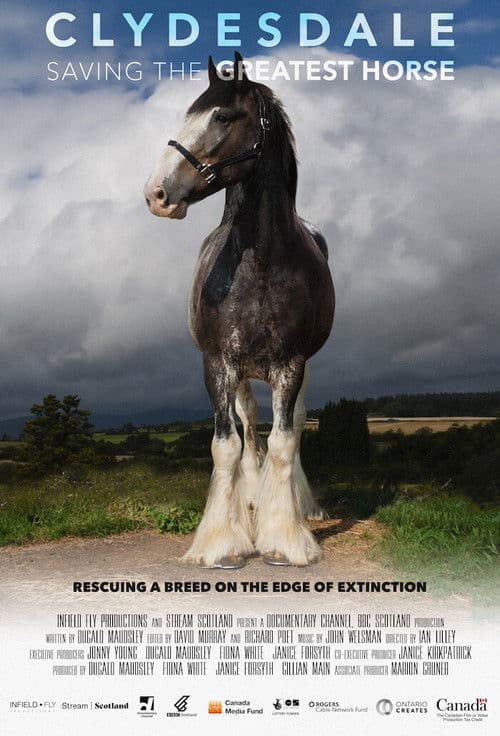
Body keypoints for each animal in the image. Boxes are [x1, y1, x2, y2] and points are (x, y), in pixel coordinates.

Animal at [144, 53, 334, 568]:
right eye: (190, 114)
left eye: (223, 117)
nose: (156, 194)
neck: (261, 262)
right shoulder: (218, 364)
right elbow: (227, 447)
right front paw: (219, 543)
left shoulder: (291, 364)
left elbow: (284, 443)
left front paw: (285, 540)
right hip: (244, 373)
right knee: (249, 428)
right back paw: (248, 507)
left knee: (291, 429)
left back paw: (295, 505)